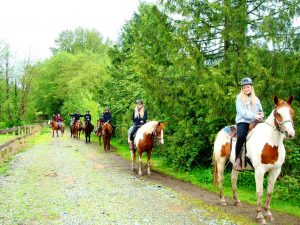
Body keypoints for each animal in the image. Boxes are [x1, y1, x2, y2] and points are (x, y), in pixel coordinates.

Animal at [213, 96, 296, 224]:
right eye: (278, 113)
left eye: (292, 112)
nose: (290, 133)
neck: (271, 144)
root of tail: (221, 131)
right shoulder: (259, 171)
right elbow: (259, 192)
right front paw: (260, 216)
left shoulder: (275, 171)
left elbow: (269, 192)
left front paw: (268, 214)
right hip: (221, 161)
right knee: (221, 179)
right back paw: (222, 200)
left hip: (235, 165)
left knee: (233, 179)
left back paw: (237, 201)